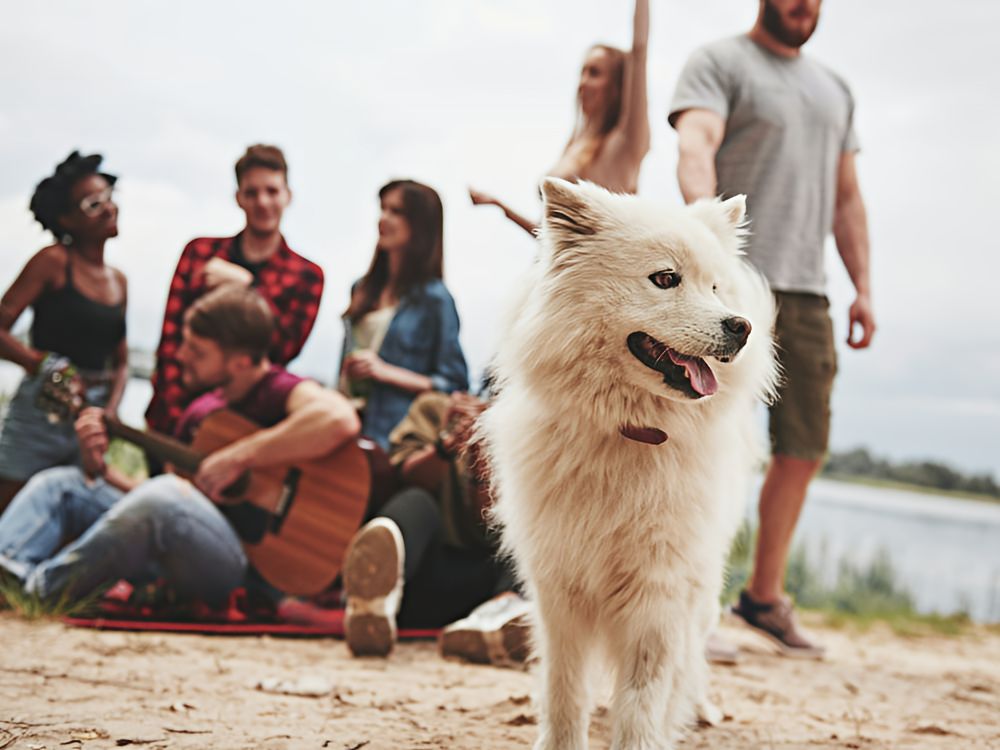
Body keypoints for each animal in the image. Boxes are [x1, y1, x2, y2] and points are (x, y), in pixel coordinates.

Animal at [480, 179, 776, 748]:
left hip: (701, 585)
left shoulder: (659, 592)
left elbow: (643, 697)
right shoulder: (560, 590)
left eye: (715, 288)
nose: (742, 327)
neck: (630, 432)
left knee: (693, 659)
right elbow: (564, 691)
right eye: (666, 279)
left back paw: (700, 709)